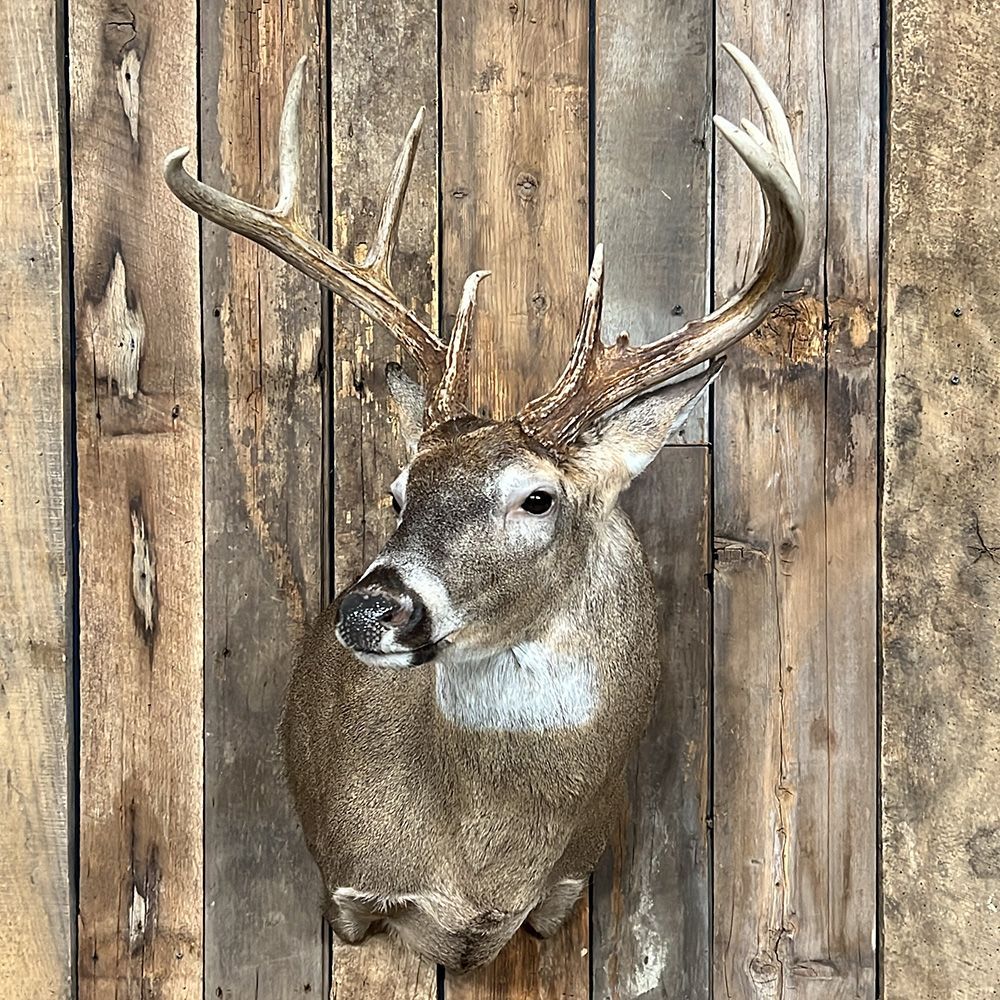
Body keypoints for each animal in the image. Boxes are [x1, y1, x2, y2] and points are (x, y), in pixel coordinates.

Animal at [164, 43, 804, 973]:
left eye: (537, 498)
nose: (370, 608)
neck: (482, 869)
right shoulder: (347, 890)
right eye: (397, 491)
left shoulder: (567, 886)